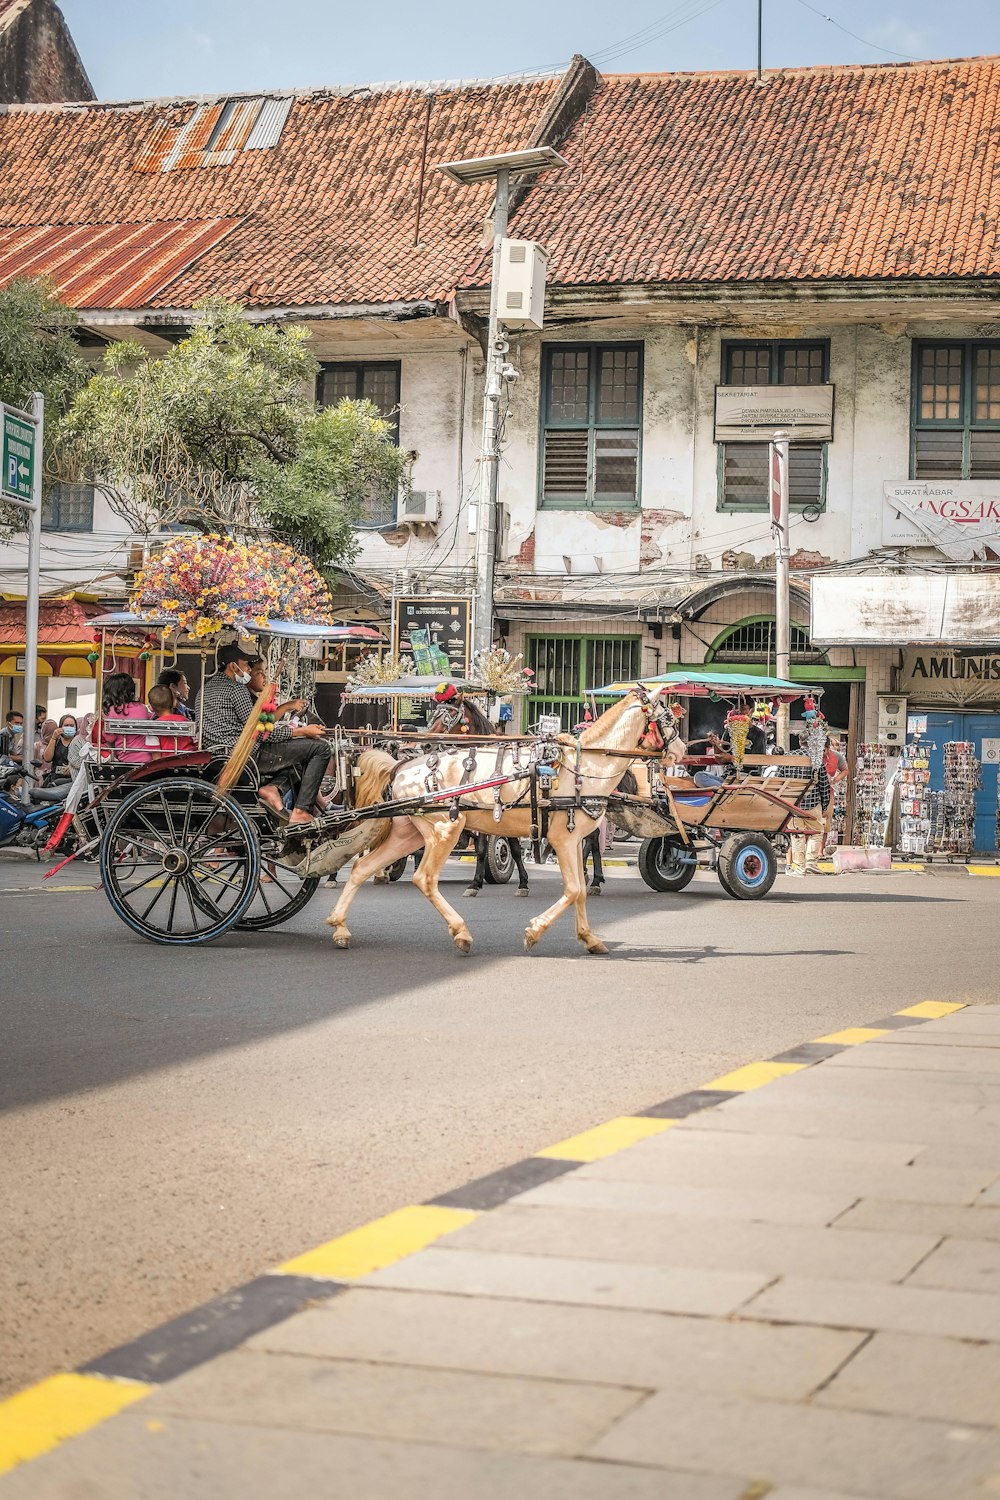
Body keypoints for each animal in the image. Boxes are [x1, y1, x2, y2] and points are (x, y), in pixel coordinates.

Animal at [328, 687, 680, 954]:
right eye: (669, 718)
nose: (680, 748)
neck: (587, 764)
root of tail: (401, 766)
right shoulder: (563, 839)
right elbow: (572, 890)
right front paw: (535, 931)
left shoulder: (570, 838)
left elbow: (577, 889)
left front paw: (589, 938)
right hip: (446, 828)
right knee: (424, 878)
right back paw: (461, 932)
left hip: (409, 833)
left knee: (362, 867)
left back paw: (340, 926)